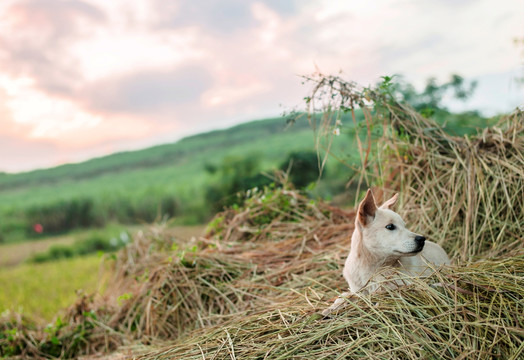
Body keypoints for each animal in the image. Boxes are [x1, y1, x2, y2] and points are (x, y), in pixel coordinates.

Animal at [324, 188, 450, 316]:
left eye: (404, 226)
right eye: (390, 226)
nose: (421, 239)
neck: (373, 269)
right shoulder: (357, 290)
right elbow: (346, 296)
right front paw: (332, 308)